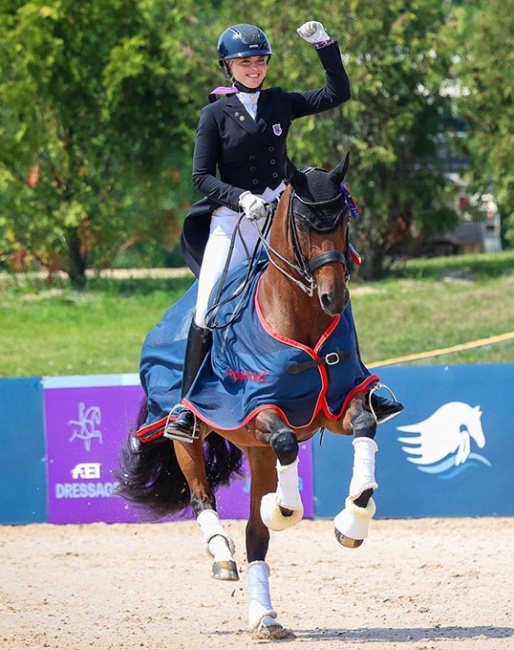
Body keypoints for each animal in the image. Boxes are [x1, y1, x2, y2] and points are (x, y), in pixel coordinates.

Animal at [116, 157, 386, 636]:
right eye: (303, 224)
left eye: (343, 222)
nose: (333, 298)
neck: (300, 318)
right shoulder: (255, 408)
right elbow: (284, 444)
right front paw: (285, 509)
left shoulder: (337, 403)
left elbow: (366, 426)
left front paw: (353, 519)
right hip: (187, 432)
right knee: (201, 495)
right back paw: (222, 556)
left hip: (257, 454)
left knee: (255, 538)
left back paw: (265, 615)